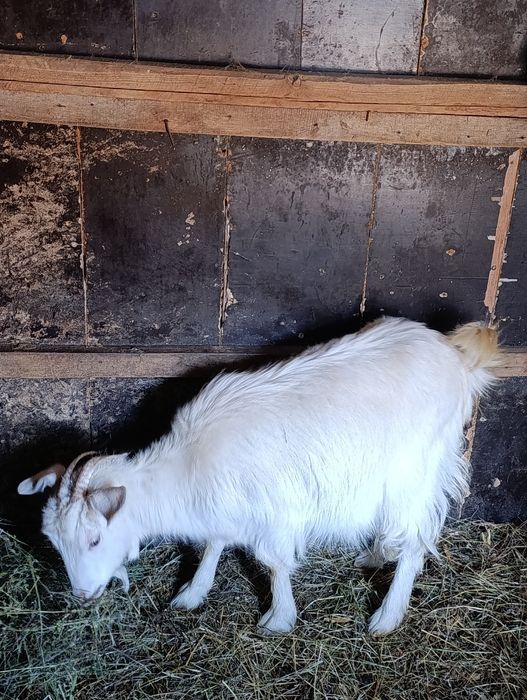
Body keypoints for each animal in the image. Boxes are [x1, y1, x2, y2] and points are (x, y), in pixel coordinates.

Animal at [18, 317, 501, 635]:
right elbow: (214, 542)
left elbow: (273, 562)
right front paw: (192, 592)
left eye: (94, 539)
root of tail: (456, 356)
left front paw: (279, 618)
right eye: (55, 543)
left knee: (416, 541)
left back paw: (386, 616)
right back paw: (374, 555)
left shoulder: (276, 507)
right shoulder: (225, 502)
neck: (188, 464)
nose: (83, 595)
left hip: (415, 470)